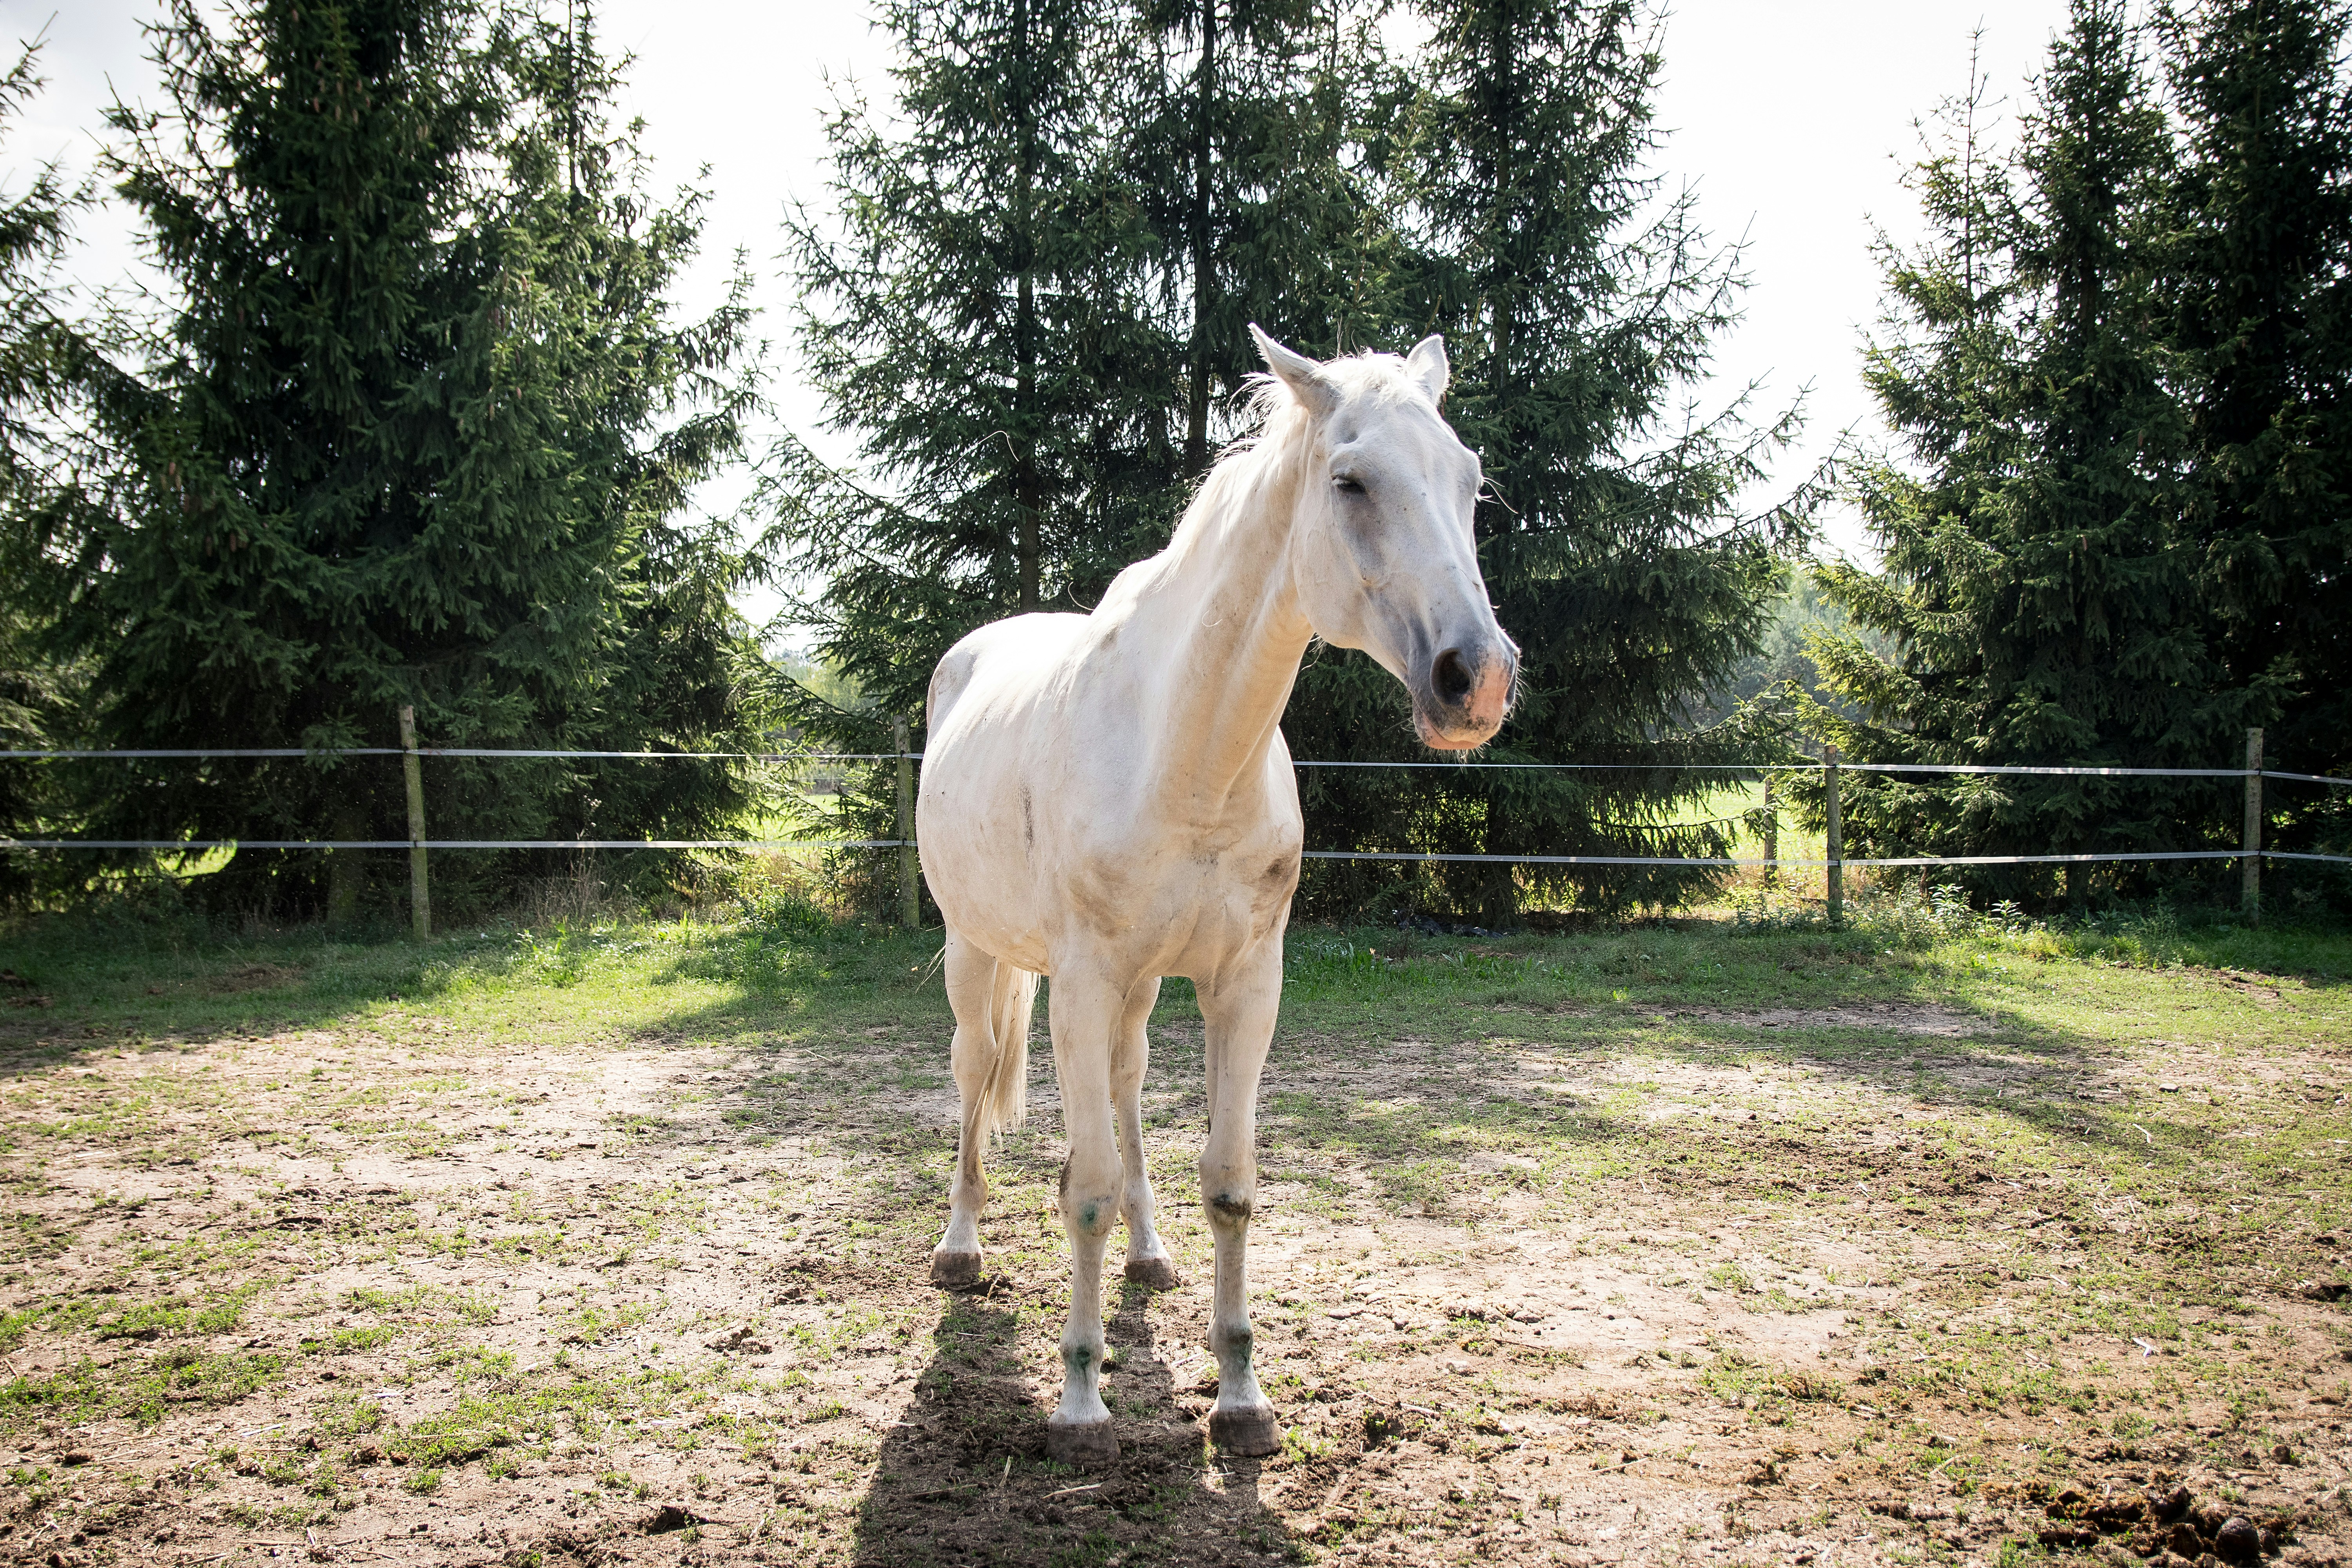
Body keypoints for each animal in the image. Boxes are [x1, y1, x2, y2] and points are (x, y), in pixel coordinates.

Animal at [915, 326, 1516, 1465]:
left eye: (1470, 482)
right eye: (1350, 481)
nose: (1479, 678)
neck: (1186, 753)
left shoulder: (1245, 983)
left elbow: (1228, 1182)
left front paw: (1241, 1396)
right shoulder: (1082, 981)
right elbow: (1086, 1189)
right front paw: (1080, 1403)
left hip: (1141, 990)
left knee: (1130, 1088)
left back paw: (1150, 1255)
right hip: (981, 955)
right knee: (974, 1080)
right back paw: (960, 1250)